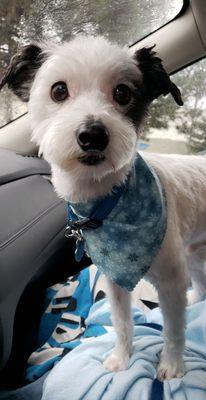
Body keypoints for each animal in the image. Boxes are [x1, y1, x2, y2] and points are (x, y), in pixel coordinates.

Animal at [1, 35, 206, 382]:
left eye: (122, 93)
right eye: (58, 90)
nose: (93, 135)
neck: (109, 203)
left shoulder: (170, 279)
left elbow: (174, 330)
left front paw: (172, 364)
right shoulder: (115, 279)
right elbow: (122, 323)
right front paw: (121, 358)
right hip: (193, 251)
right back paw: (195, 298)